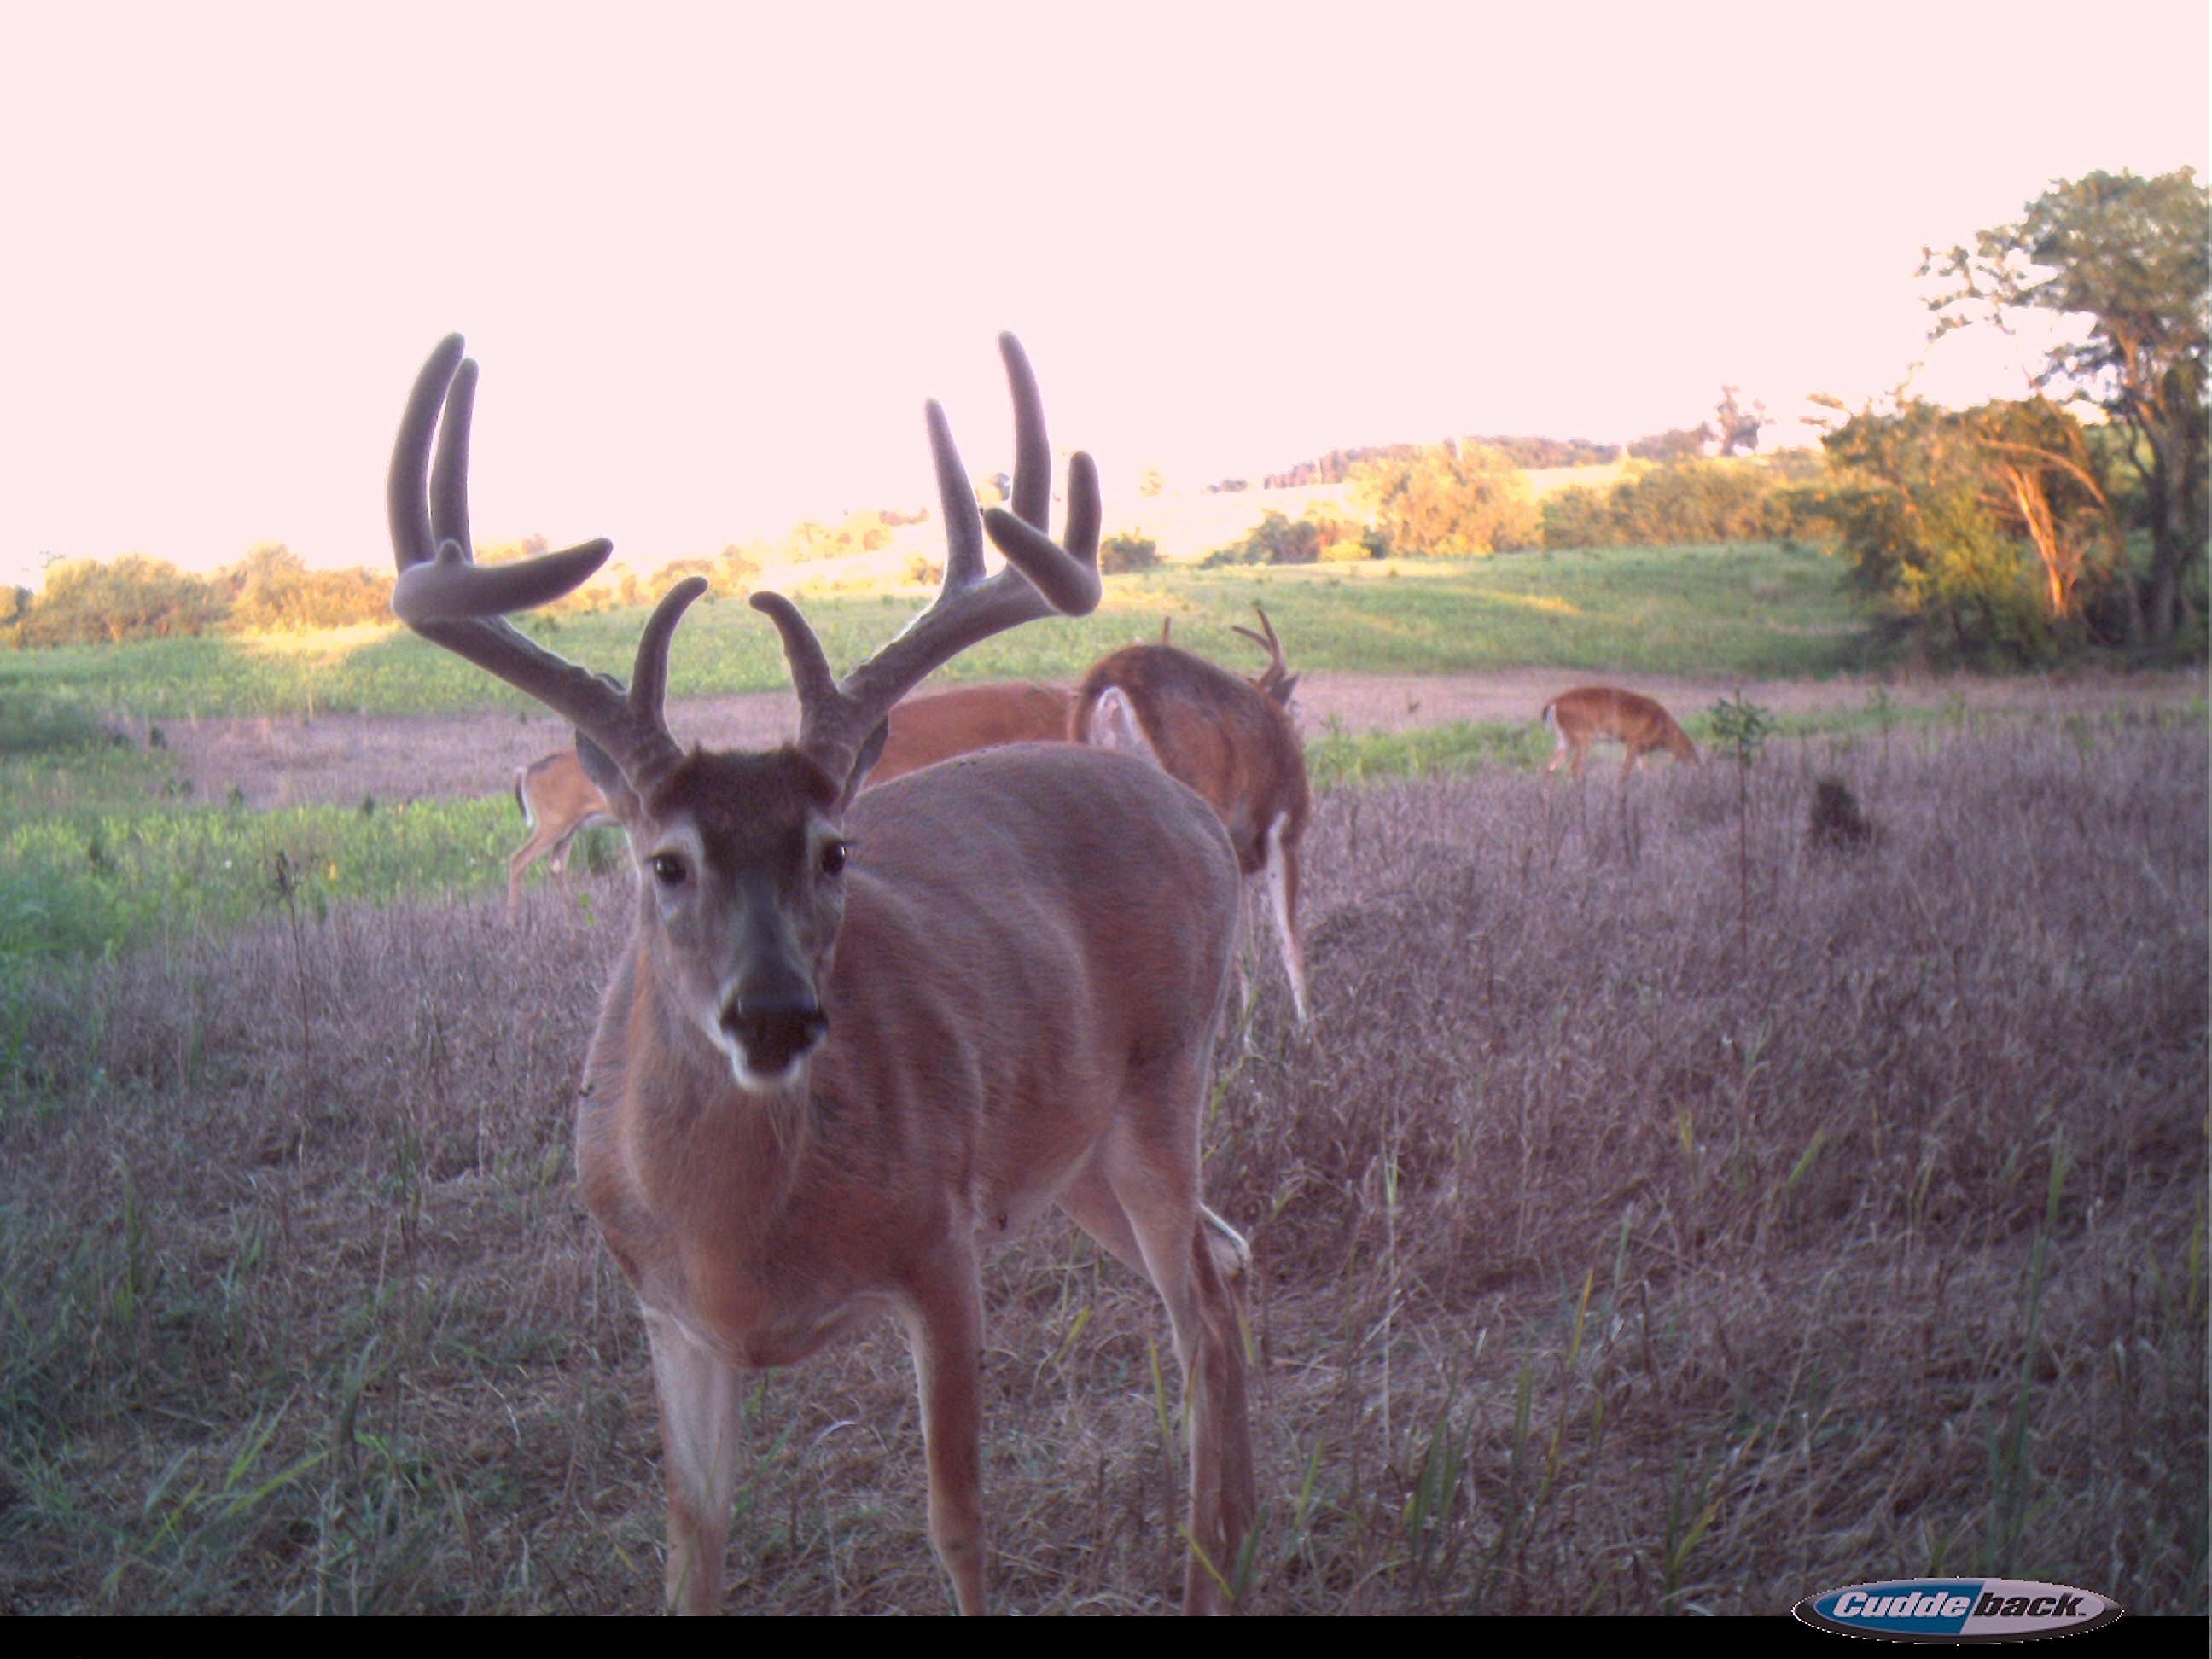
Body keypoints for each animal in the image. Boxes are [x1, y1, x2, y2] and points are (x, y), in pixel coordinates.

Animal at [1548, 685, 1698, 783]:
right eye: (1693, 755)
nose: (1699, 767)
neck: (1663, 728)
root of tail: (1552, 704)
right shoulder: (1634, 742)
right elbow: (1625, 773)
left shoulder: (1640, 749)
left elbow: (1646, 772)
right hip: (1582, 737)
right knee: (1574, 768)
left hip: (1564, 739)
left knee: (1550, 768)